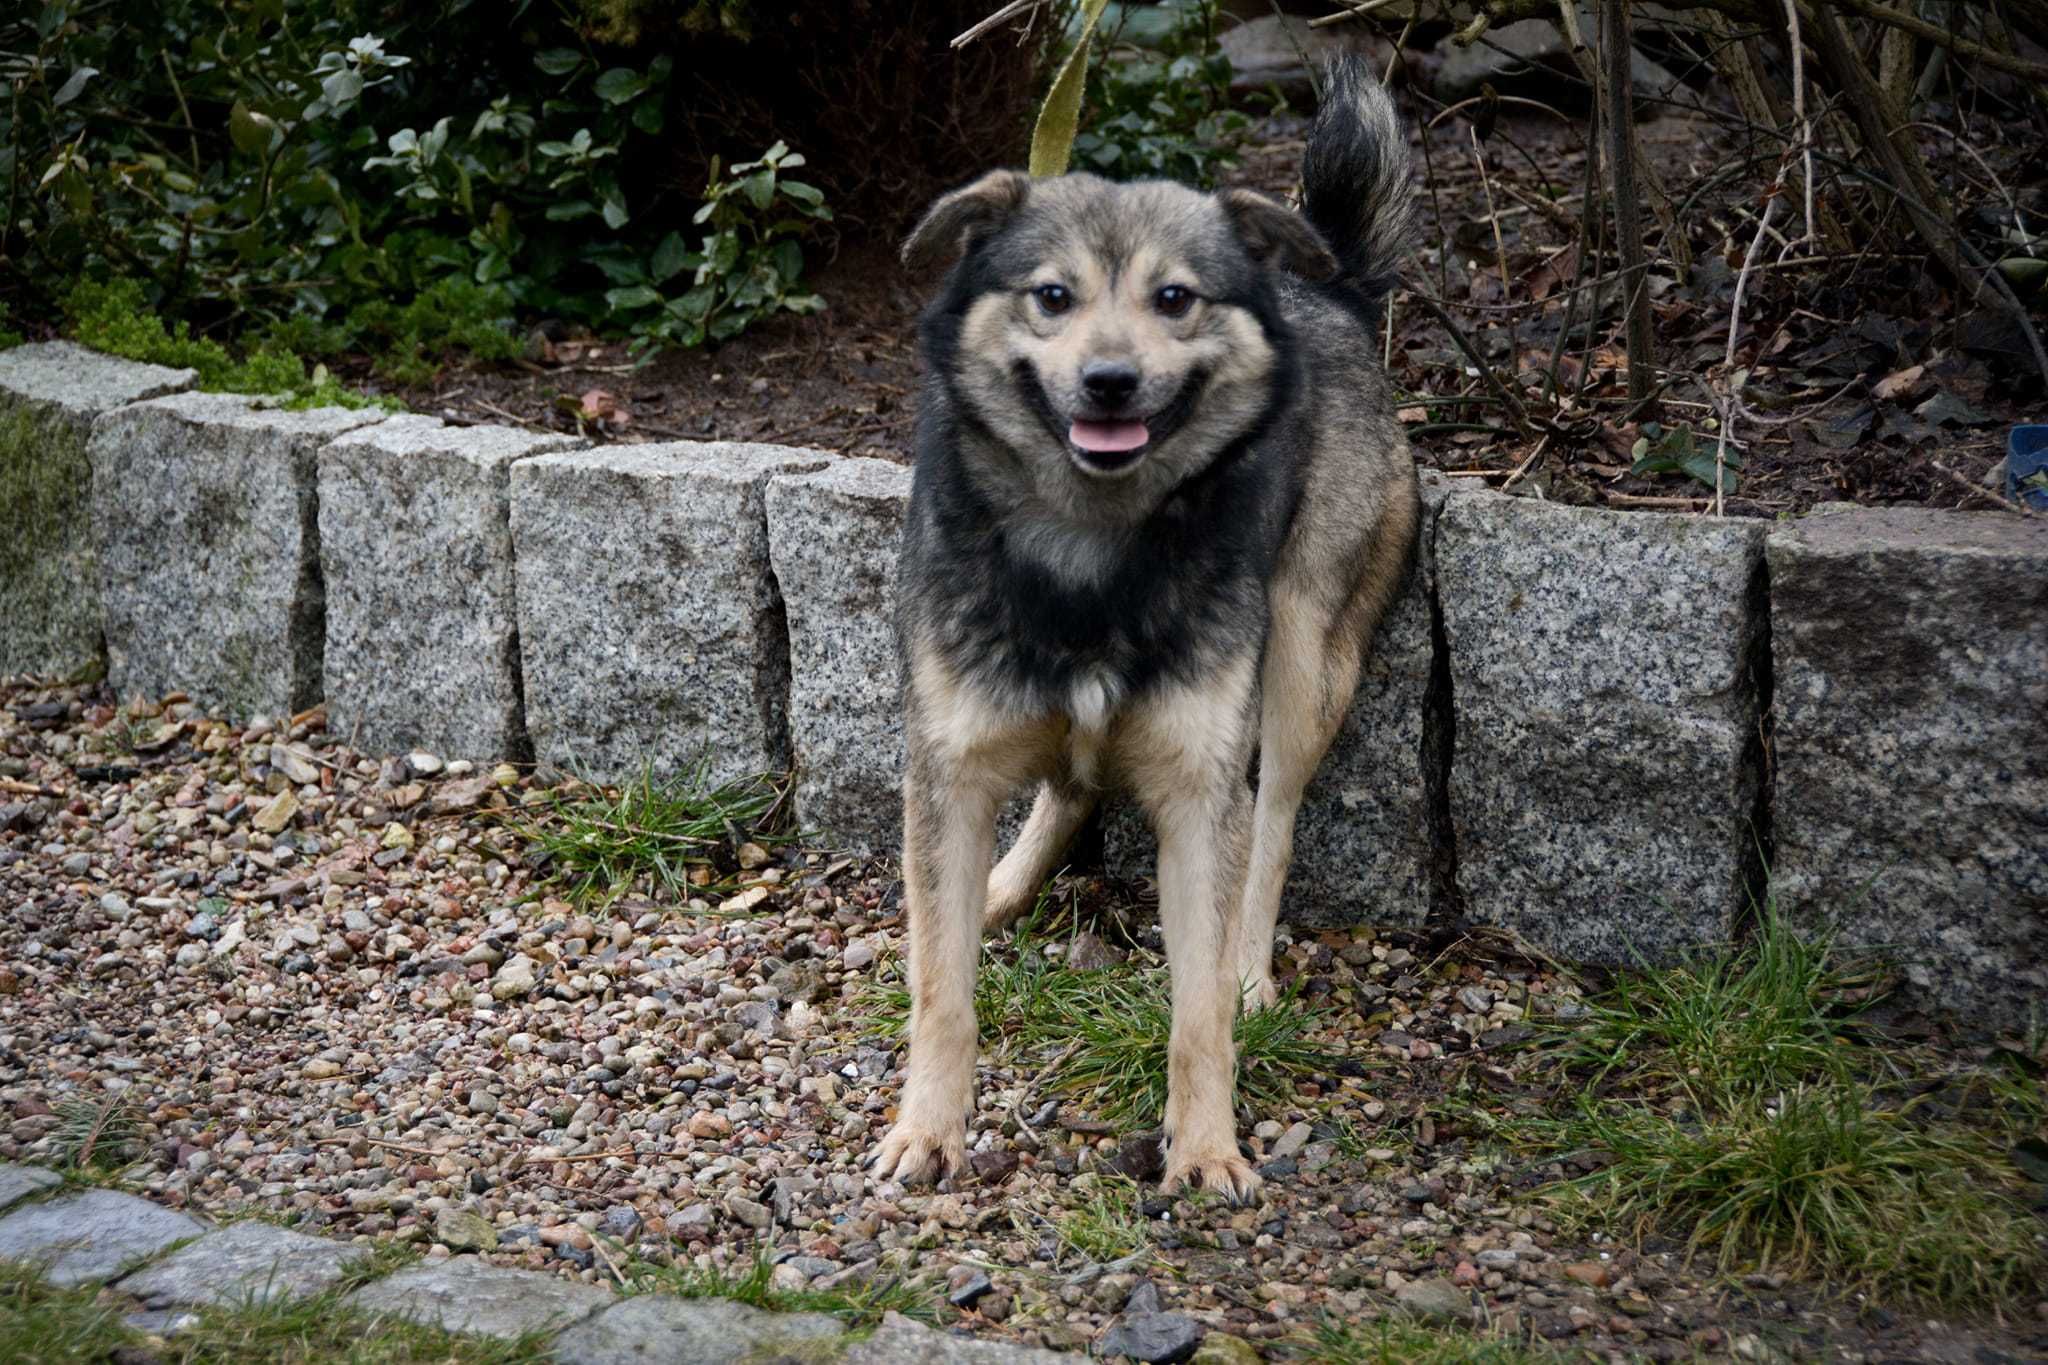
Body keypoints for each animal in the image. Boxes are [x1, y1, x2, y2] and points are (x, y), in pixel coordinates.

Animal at [868, 58, 1425, 1203]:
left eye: (1175, 298)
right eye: (1051, 296)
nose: (1110, 381)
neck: (1091, 543)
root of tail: (1330, 287)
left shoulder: (1196, 779)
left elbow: (1197, 1006)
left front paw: (1206, 1143)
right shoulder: (949, 757)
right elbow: (944, 990)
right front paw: (929, 1128)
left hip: (1305, 654)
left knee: (1273, 819)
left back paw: (1252, 965)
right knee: (1060, 794)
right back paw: (994, 892)